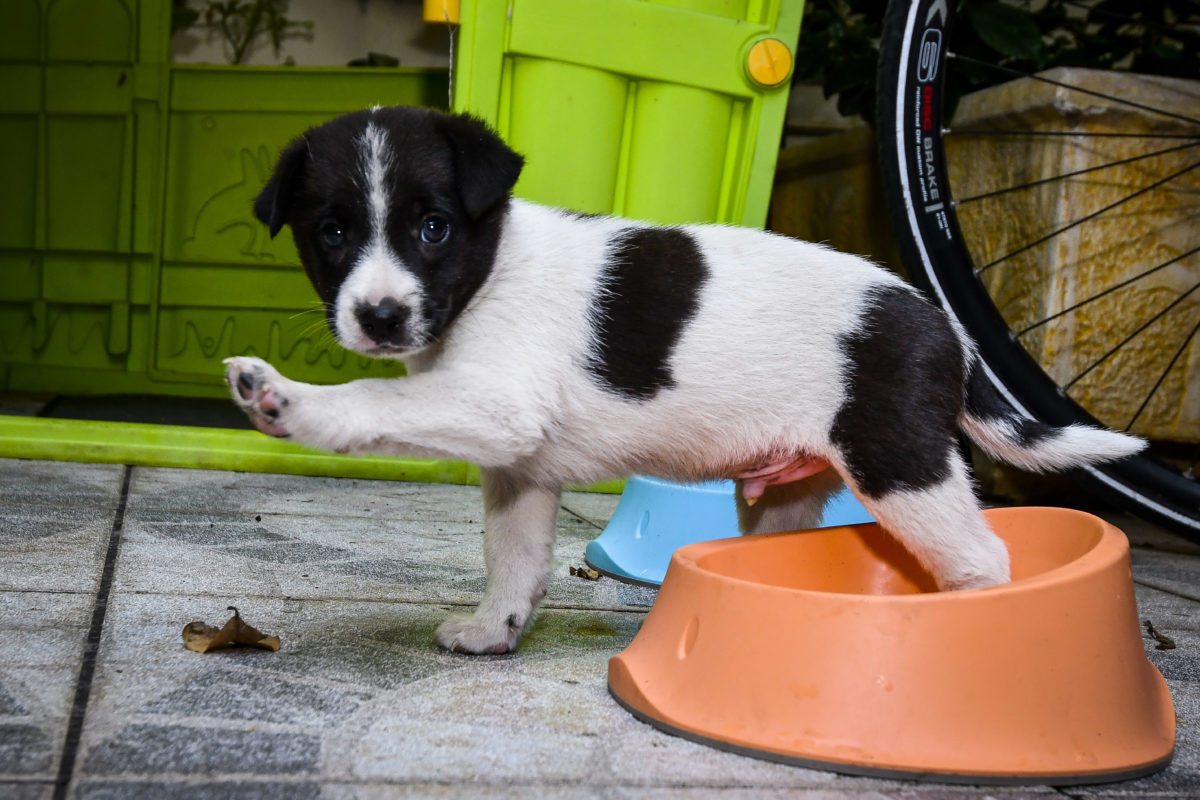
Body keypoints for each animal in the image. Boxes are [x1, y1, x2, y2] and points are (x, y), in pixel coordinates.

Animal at [226, 106, 1142, 652]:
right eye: (332, 233)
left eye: (433, 227)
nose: (379, 317)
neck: (488, 276)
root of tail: (944, 324)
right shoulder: (520, 470)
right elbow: (513, 560)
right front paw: (495, 631)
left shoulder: (496, 407)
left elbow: (373, 400)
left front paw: (289, 402)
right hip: (785, 495)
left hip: (900, 464)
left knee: (983, 558)